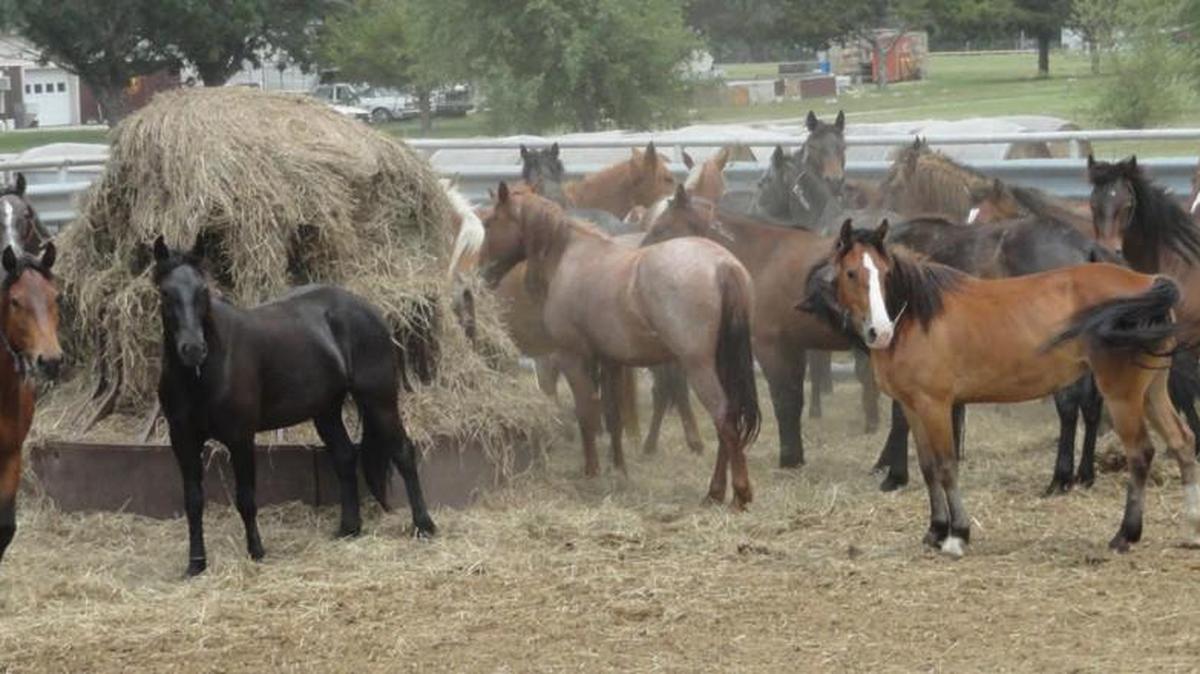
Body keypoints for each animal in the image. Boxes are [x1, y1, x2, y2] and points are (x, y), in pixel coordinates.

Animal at [152, 237, 435, 577]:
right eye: (165, 293)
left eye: (203, 290)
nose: (193, 349)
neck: (202, 375)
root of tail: (369, 309)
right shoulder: (182, 440)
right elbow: (193, 501)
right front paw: (196, 564)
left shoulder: (240, 438)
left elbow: (246, 497)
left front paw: (256, 552)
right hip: (326, 411)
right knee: (345, 457)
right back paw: (349, 529)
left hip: (378, 399)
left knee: (403, 452)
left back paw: (424, 526)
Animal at [478, 184, 760, 508]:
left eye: (489, 223)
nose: (482, 274)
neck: (570, 258)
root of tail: (722, 265)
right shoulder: (610, 360)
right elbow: (613, 417)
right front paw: (619, 469)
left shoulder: (573, 358)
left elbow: (587, 412)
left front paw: (591, 470)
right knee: (731, 418)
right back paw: (719, 492)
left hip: (698, 367)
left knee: (723, 418)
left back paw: (733, 492)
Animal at [643, 188, 879, 468]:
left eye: (661, 227)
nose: (639, 259)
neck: (764, 256)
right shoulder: (792, 345)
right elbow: (793, 398)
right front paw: (796, 457)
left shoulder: (770, 346)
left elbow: (783, 400)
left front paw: (788, 458)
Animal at [825, 219, 1200, 556]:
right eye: (851, 274)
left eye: (885, 273)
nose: (880, 332)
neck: (918, 315)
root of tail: (1147, 281)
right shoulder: (913, 407)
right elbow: (929, 467)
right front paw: (935, 530)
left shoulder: (936, 405)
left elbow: (947, 467)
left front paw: (957, 535)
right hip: (1151, 390)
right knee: (1182, 441)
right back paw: (1192, 528)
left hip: (1123, 395)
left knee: (1140, 453)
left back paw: (1125, 535)